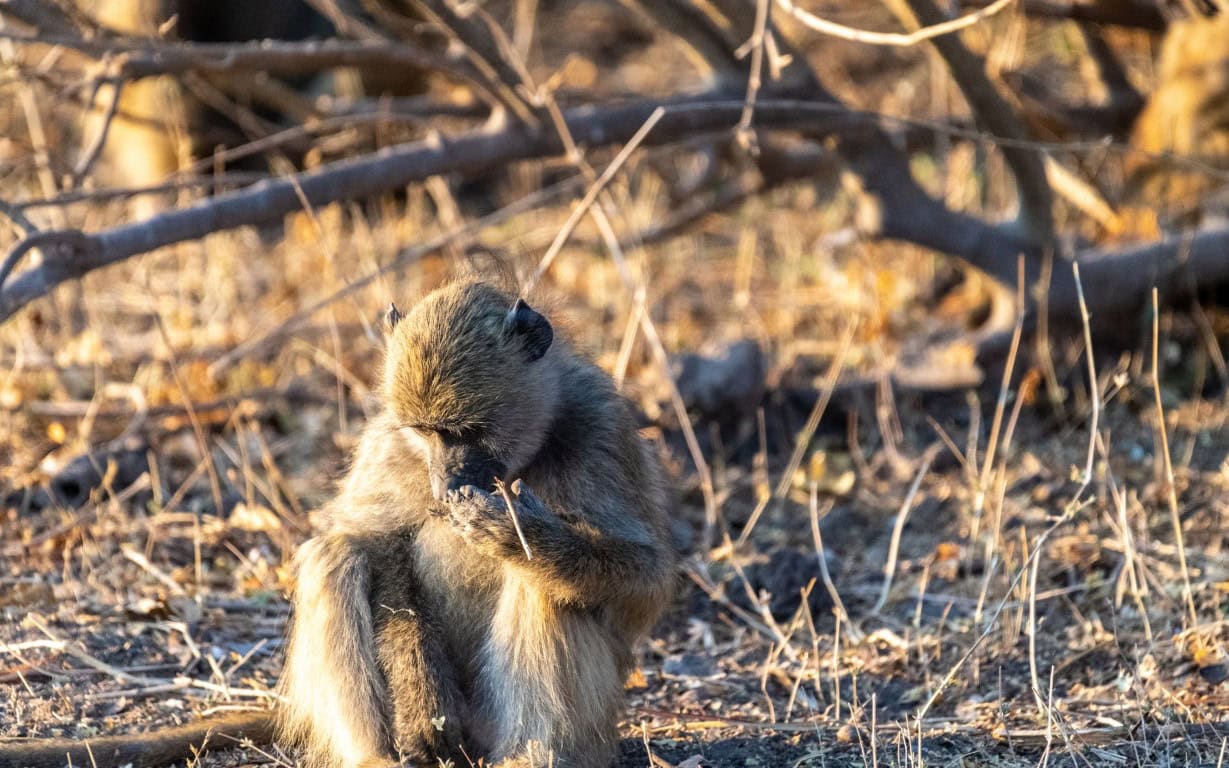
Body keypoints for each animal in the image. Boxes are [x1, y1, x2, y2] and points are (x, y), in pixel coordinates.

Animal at [0, 280, 677, 768]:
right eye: (425, 432)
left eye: (468, 430)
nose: (447, 483)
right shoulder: (387, 440)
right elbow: (371, 542)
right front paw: (419, 702)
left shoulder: (601, 428)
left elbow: (646, 581)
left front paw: (518, 532)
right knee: (335, 555)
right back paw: (375, 757)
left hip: (561, 728)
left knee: (544, 589)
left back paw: (528, 757)